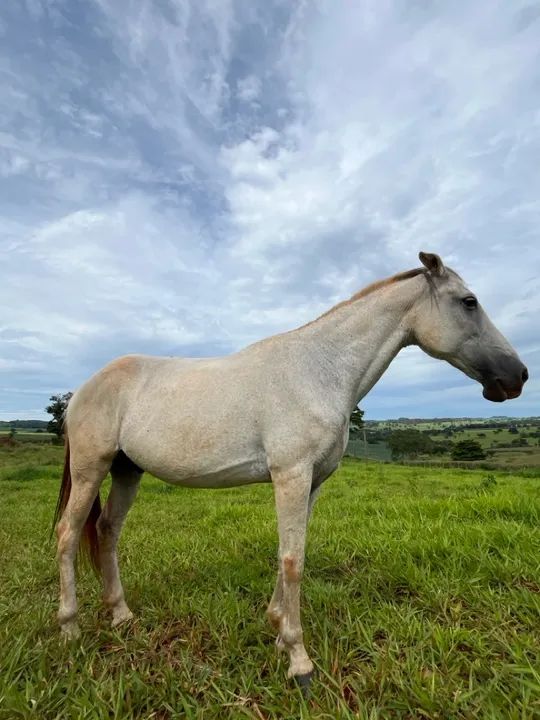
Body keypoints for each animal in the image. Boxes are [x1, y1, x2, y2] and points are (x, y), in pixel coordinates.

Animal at [53, 252, 528, 691]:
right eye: (469, 302)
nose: (518, 375)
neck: (318, 371)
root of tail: (84, 389)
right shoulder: (291, 476)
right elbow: (293, 560)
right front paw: (300, 662)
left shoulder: (311, 482)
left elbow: (291, 555)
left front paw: (279, 631)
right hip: (91, 469)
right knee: (68, 533)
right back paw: (70, 628)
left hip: (127, 471)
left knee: (108, 530)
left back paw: (121, 615)